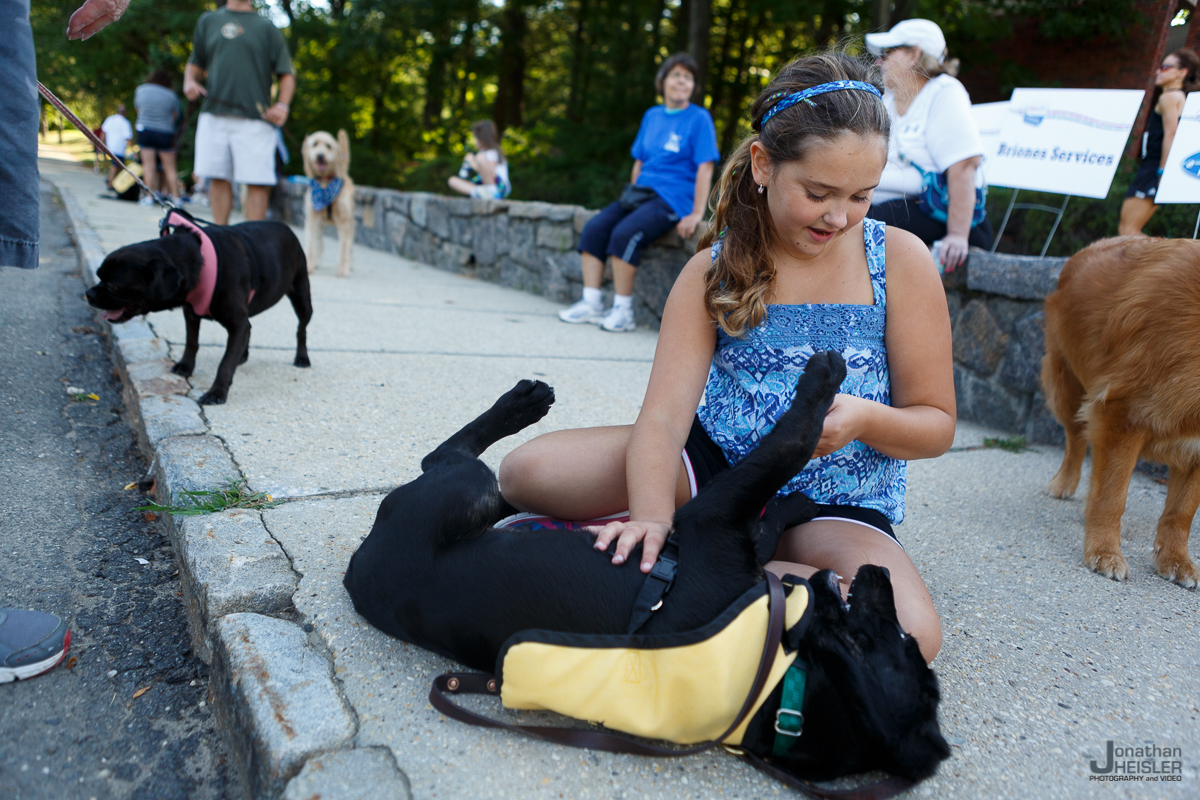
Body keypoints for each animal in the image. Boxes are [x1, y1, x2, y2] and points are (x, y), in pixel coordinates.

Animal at [300, 130, 355, 278]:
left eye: (328, 146)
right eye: (314, 144)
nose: (320, 156)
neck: (325, 183)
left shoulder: (344, 221)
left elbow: (344, 247)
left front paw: (343, 269)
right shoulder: (312, 218)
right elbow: (311, 244)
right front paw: (308, 266)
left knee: (349, 246)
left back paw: (349, 264)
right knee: (319, 244)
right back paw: (316, 262)